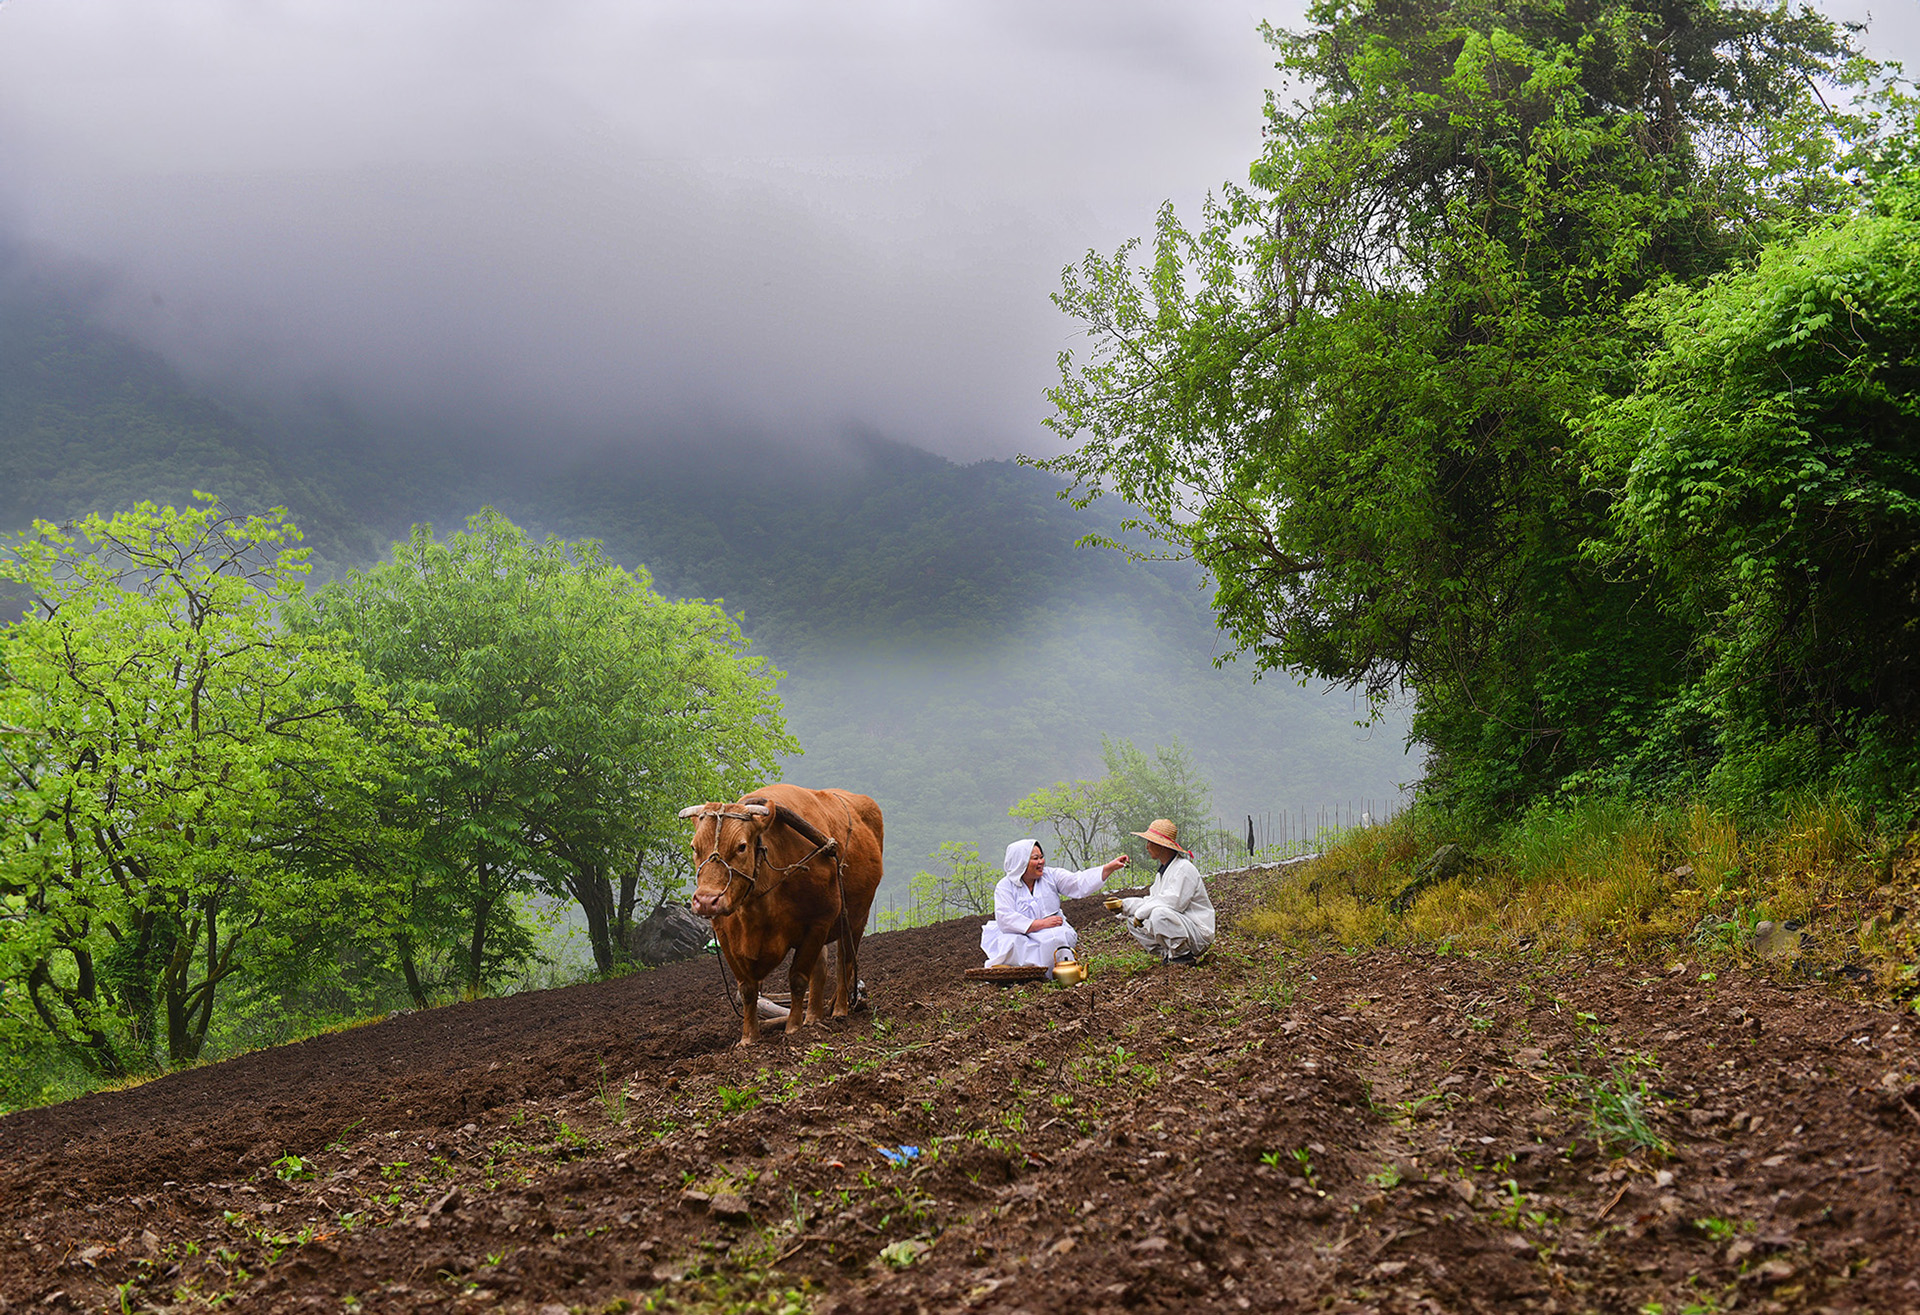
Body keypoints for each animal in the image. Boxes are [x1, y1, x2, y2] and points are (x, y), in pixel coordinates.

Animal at [678, 784, 884, 1046]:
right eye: (694, 847)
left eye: (741, 846)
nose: (706, 901)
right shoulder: (725, 935)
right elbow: (747, 989)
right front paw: (749, 1037)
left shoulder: (818, 923)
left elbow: (797, 978)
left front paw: (793, 1028)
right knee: (821, 970)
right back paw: (813, 1017)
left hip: (856, 917)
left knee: (844, 961)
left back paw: (839, 1009)